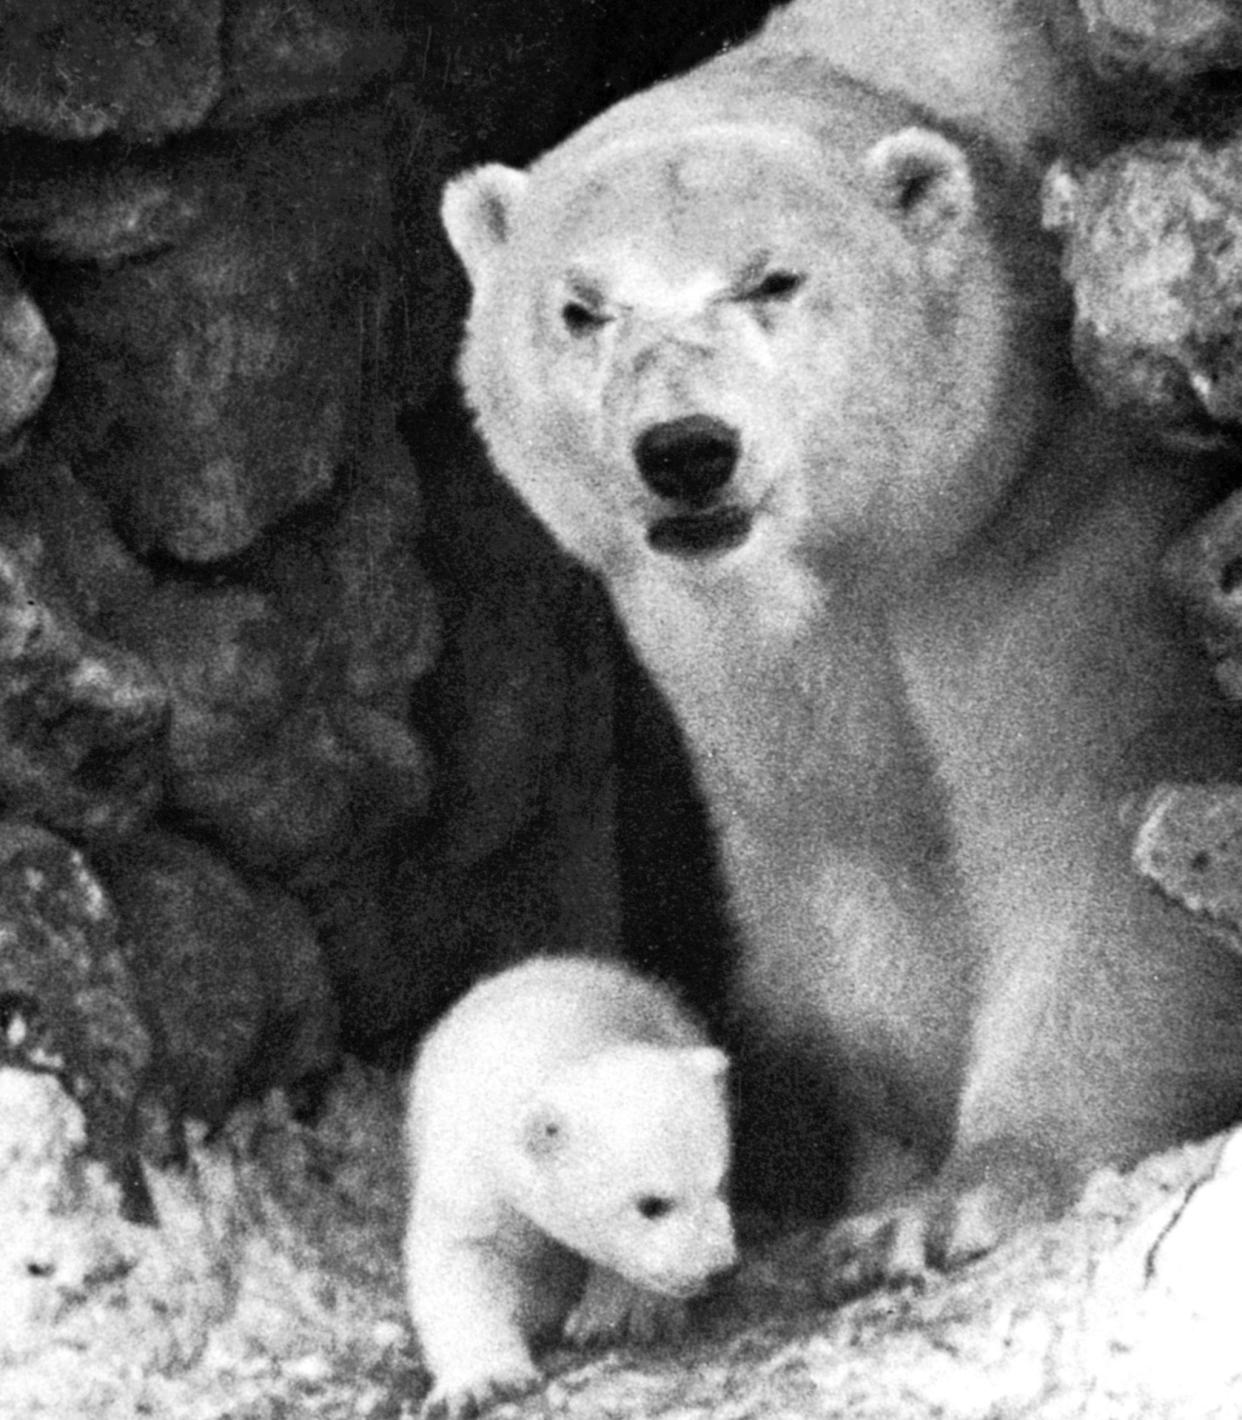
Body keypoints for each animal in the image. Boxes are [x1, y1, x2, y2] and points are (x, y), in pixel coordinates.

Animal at [442, 0, 1242, 1283]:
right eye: (582, 307)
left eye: (774, 279)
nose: (686, 450)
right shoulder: (745, 658)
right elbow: (851, 856)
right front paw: (889, 1175)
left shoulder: (1064, 523)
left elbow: (1098, 824)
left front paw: (960, 1196)